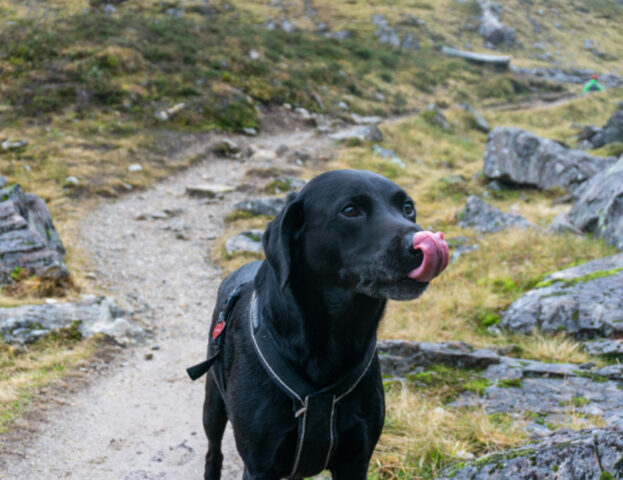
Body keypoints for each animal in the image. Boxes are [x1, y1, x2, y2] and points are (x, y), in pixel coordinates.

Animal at [190, 169, 448, 476]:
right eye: (350, 210)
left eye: (408, 208)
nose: (421, 242)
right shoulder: (260, 465)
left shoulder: (355, 460)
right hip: (213, 404)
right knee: (212, 451)